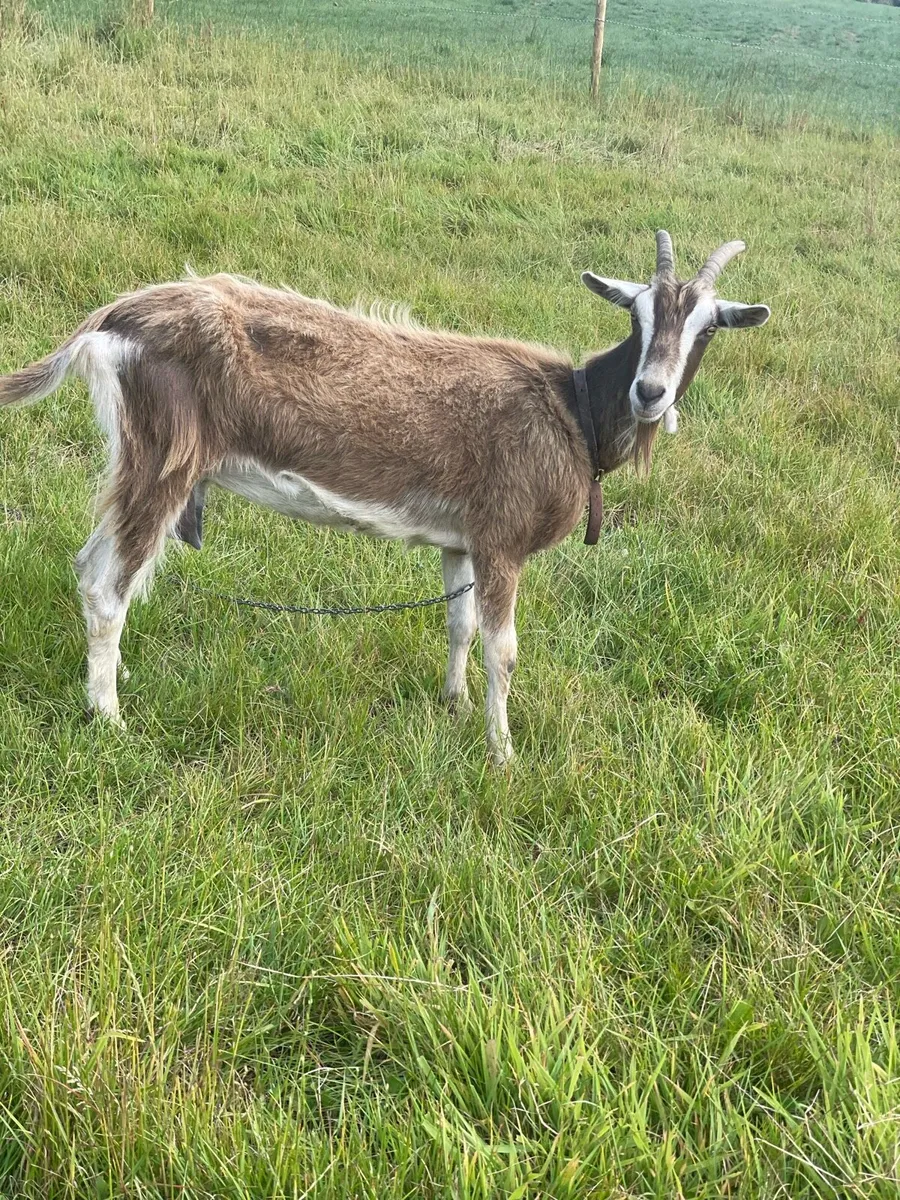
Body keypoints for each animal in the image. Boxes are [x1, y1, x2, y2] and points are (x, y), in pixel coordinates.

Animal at [0, 231, 769, 763]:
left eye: (707, 327)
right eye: (636, 315)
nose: (651, 392)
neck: (572, 411)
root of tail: (113, 317)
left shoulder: (462, 540)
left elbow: (459, 626)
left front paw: (454, 704)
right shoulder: (502, 538)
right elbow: (504, 650)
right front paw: (502, 753)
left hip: (139, 458)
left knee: (93, 564)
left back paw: (114, 675)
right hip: (164, 458)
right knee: (107, 584)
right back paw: (109, 715)